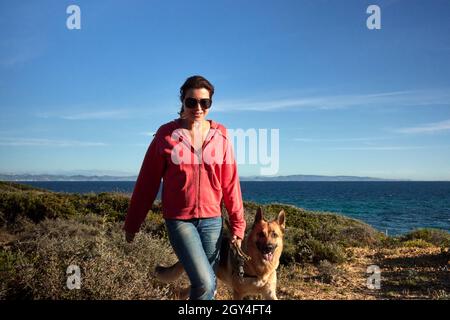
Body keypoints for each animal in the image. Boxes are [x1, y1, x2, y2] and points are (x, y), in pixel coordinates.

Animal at [155, 208, 286, 300]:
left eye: (274, 234)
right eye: (261, 234)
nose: (268, 248)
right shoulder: (238, 293)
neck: (259, 268)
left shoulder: (270, 294)